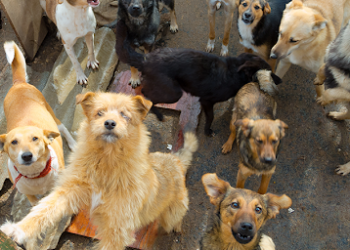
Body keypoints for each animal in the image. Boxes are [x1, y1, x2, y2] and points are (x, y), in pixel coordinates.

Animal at [0, 41, 76, 205]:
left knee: (63, 128)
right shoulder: (30, 196)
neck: (36, 175)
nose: (27, 156)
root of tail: (19, 84)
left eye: (35, 138)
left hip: (53, 117)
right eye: (13, 142)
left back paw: (73, 143)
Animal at [0, 92, 198, 250]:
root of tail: (175, 160)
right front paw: (18, 230)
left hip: (172, 214)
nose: (109, 123)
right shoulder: (70, 190)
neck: (107, 163)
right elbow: (44, 209)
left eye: (124, 115)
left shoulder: (116, 230)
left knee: (174, 219)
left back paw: (176, 227)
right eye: (99, 113)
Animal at [115, 19, 282, 137]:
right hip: (174, 93)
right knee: (148, 96)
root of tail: (146, 59)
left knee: (146, 92)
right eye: (269, 70)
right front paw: (208, 131)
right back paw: (158, 114)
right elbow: (211, 117)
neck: (235, 72)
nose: (280, 80)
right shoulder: (207, 101)